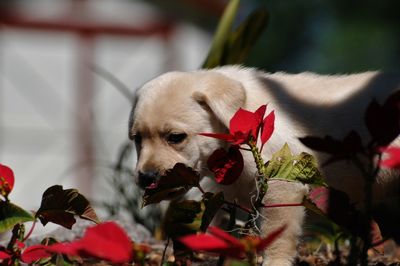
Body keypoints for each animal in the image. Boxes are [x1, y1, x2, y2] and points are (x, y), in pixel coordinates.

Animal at [129, 65, 400, 266]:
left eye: (175, 137)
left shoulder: (282, 185)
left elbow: (277, 237)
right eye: (137, 139)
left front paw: (275, 262)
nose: (146, 177)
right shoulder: (232, 192)